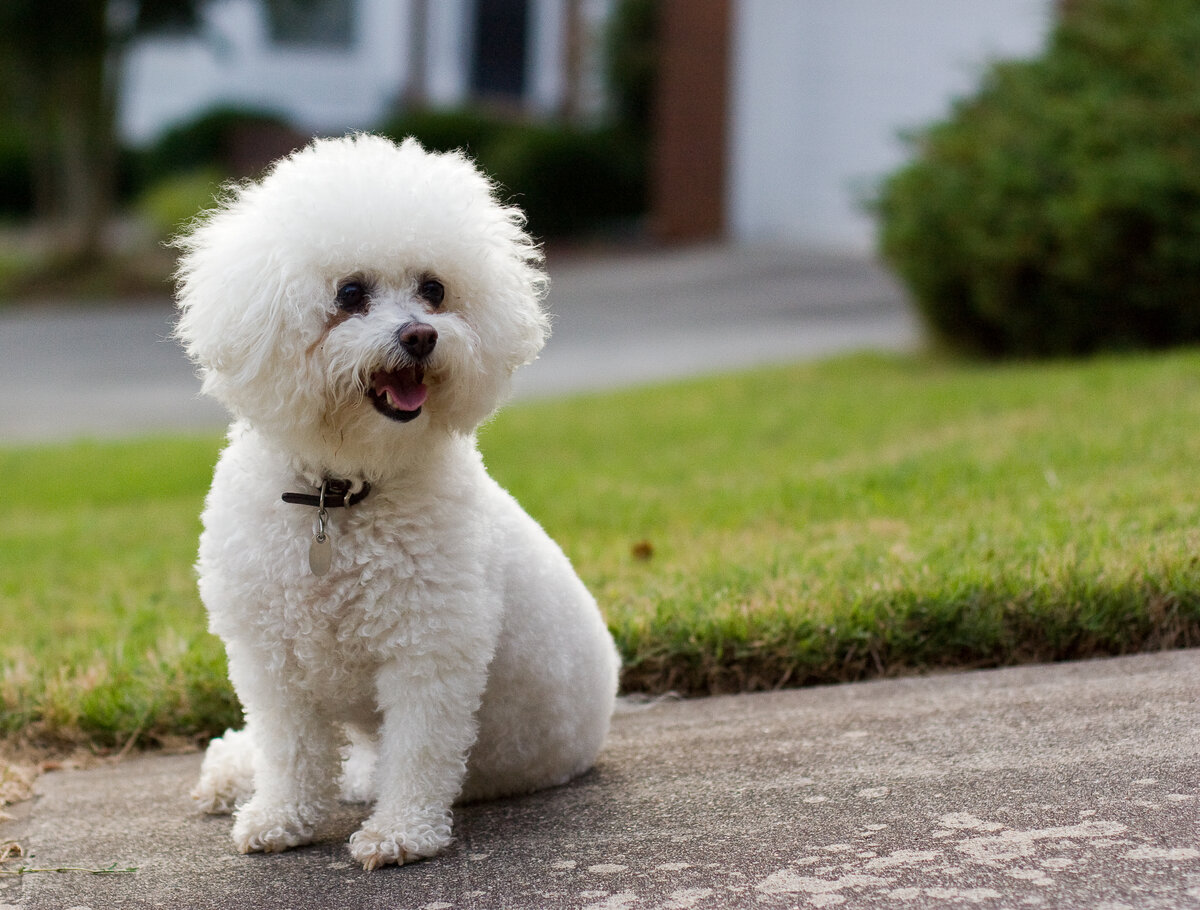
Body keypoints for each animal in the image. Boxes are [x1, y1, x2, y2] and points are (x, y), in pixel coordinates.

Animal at [175, 133, 624, 869]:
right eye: (350, 293)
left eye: (434, 289)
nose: (420, 335)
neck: (341, 495)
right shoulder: (272, 659)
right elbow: (288, 750)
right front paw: (280, 818)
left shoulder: (429, 651)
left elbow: (419, 751)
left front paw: (400, 834)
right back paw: (228, 774)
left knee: (372, 768)